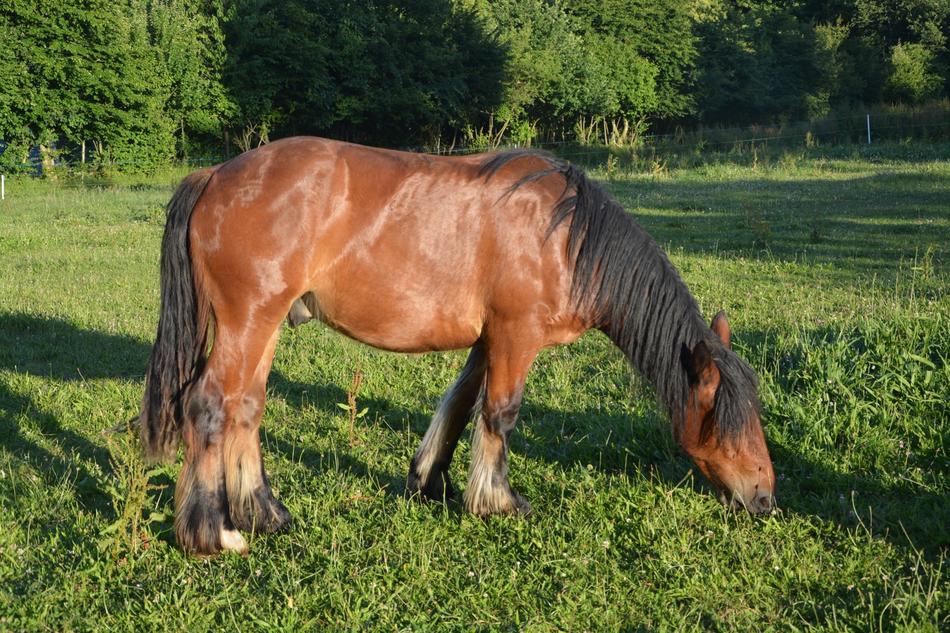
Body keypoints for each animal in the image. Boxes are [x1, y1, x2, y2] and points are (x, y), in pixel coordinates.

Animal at [138, 137, 775, 555]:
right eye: (726, 420)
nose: (766, 497)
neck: (566, 237)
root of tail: (216, 175)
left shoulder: (488, 341)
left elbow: (461, 403)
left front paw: (429, 480)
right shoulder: (516, 337)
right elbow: (500, 414)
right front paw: (497, 500)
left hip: (263, 327)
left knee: (246, 408)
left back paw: (265, 514)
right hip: (248, 322)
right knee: (210, 406)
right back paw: (212, 533)